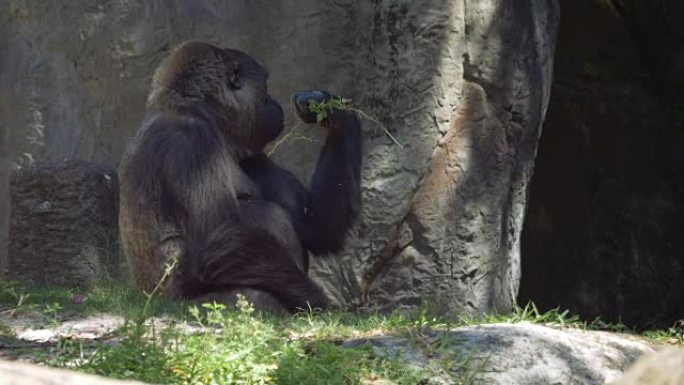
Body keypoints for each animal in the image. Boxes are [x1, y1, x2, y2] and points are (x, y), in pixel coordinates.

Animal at [119, 41, 364, 312]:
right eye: (265, 85)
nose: (273, 101)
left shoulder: (253, 156)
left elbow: (316, 226)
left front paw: (333, 111)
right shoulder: (188, 140)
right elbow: (218, 241)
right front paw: (315, 300)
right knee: (256, 294)